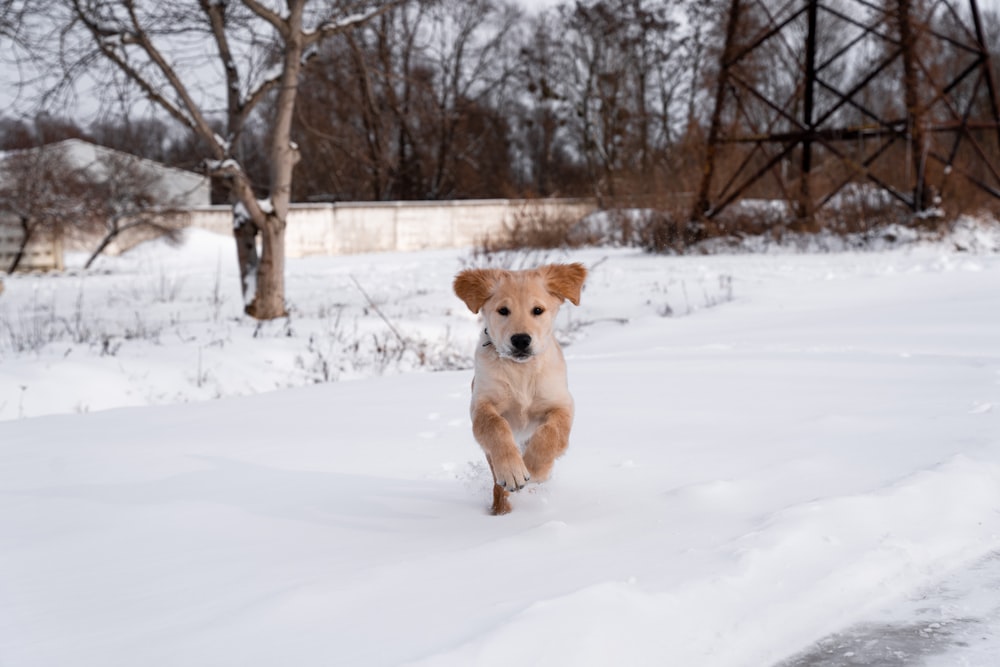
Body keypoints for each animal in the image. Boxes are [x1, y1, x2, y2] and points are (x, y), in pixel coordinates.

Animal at [454, 264, 584, 516]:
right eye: (503, 310)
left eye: (538, 310)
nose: (521, 340)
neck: (521, 370)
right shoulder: (482, 404)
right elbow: (496, 426)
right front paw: (513, 471)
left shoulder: (562, 404)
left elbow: (551, 433)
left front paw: (534, 469)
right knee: (497, 482)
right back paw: (502, 508)